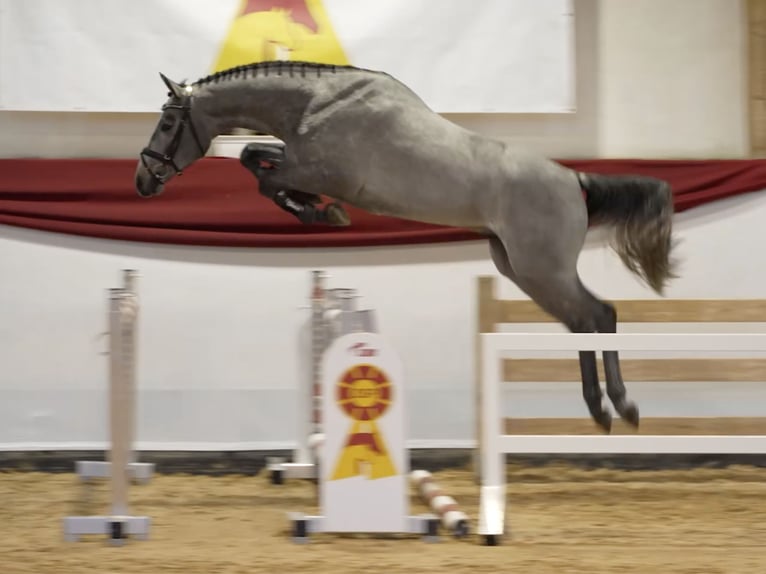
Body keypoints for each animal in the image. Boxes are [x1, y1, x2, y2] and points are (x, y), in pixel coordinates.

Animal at [135, 60, 677, 433]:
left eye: (168, 123)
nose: (143, 180)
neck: (318, 103)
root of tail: (574, 179)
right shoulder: (298, 160)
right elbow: (253, 155)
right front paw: (319, 211)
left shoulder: (320, 171)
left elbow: (265, 176)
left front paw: (320, 212)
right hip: (518, 269)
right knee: (583, 320)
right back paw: (603, 410)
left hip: (541, 269)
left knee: (598, 314)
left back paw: (617, 406)